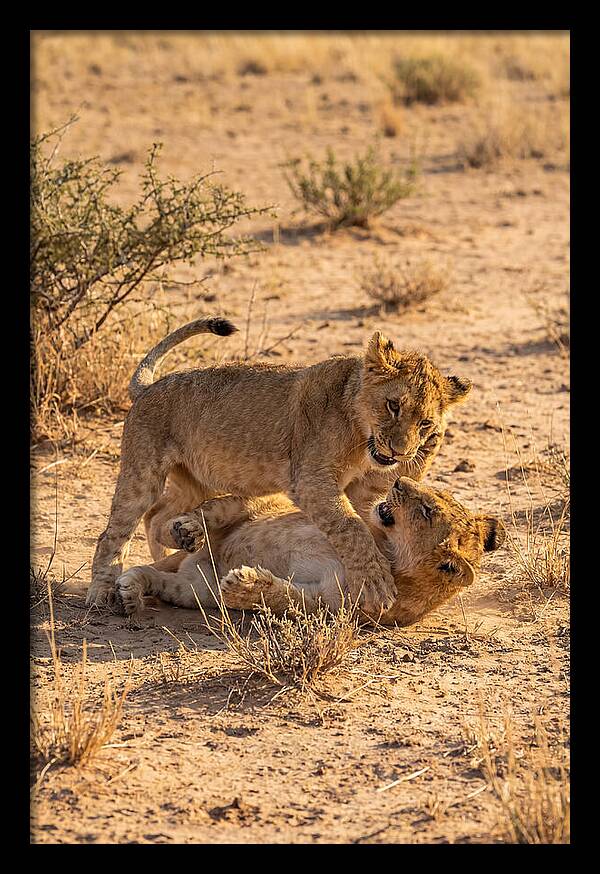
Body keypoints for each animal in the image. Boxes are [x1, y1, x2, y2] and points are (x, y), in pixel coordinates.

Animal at [88, 316, 472, 614]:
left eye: (425, 423)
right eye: (393, 405)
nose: (399, 451)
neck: (361, 435)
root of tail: (149, 387)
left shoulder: (365, 491)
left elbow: (364, 523)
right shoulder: (312, 480)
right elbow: (351, 528)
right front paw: (376, 583)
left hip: (196, 480)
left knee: (158, 516)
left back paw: (177, 546)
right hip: (143, 471)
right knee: (114, 532)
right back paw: (102, 593)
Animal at [115, 476, 505, 626]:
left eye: (427, 510)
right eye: (433, 494)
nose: (397, 481)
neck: (386, 549)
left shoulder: (327, 604)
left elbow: (284, 597)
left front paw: (244, 585)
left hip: (195, 589)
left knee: (158, 578)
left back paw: (130, 592)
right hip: (250, 509)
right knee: (216, 510)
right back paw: (184, 532)